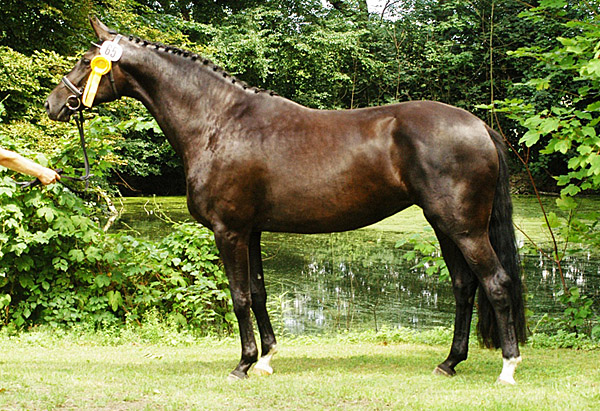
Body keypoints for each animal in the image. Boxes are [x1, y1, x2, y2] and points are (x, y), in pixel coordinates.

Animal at [45, 18, 524, 386]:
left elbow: (239, 296)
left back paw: (507, 367)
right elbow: (258, 293)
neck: (218, 122)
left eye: (87, 60)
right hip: (444, 225)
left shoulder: (229, 231)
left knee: (496, 282)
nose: (54, 104)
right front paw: (266, 359)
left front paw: (242, 365)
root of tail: (480, 125)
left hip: (464, 227)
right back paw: (449, 363)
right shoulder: (252, 230)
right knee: (464, 287)